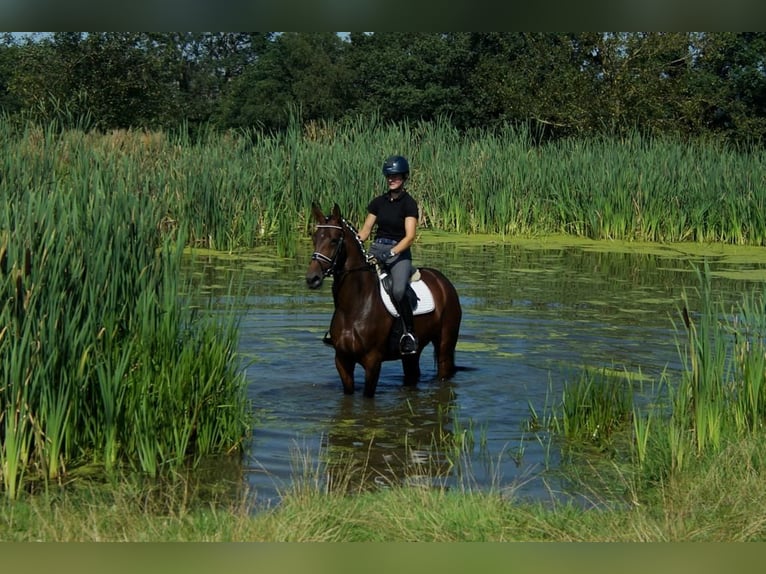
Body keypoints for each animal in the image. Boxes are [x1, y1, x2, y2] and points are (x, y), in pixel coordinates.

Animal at [304, 204, 462, 400]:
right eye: (314, 237)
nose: (312, 279)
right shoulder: (342, 360)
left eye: (334, 240)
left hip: (445, 344)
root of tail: (443, 281)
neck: (355, 305)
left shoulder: (373, 361)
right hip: (411, 354)